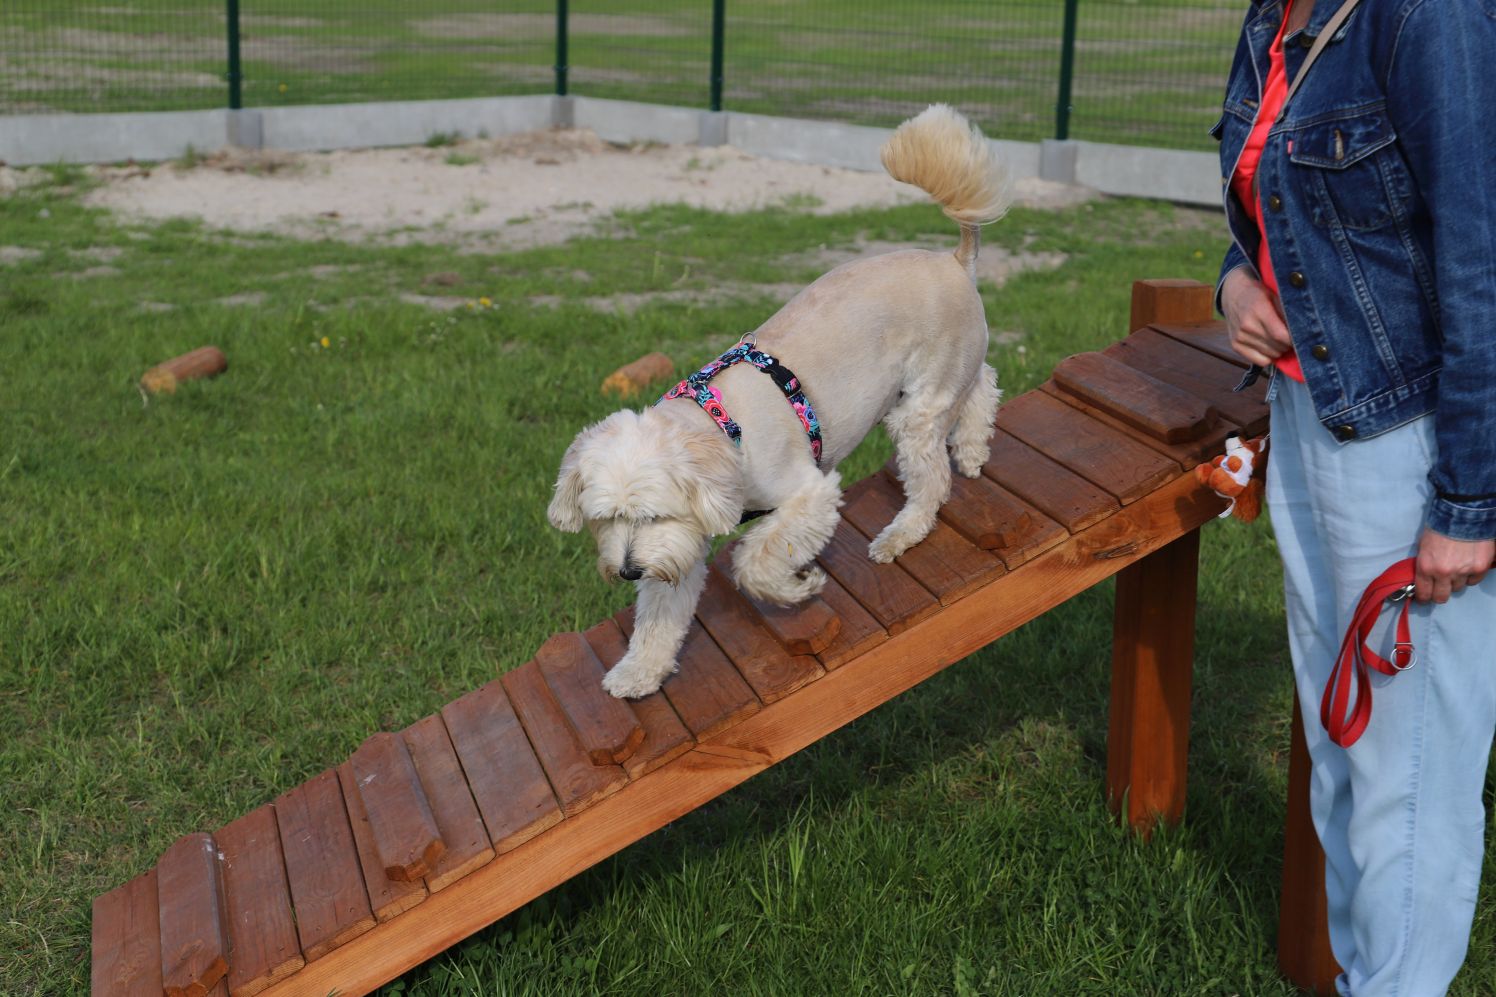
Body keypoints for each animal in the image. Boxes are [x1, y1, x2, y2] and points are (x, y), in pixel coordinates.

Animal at [553, 101, 1017, 691]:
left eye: (653, 515)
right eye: (606, 519)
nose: (628, 570)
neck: (720, 425)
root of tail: (953, 260)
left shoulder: (808, 495)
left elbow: (754, 559)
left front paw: (797, 588)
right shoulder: (681, 548)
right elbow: (659, 616)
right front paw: (639, 673)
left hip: (918, 409)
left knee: (932, 480)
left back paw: (901, 534)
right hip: (943, 382)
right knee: (984, 382)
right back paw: (975, 449)